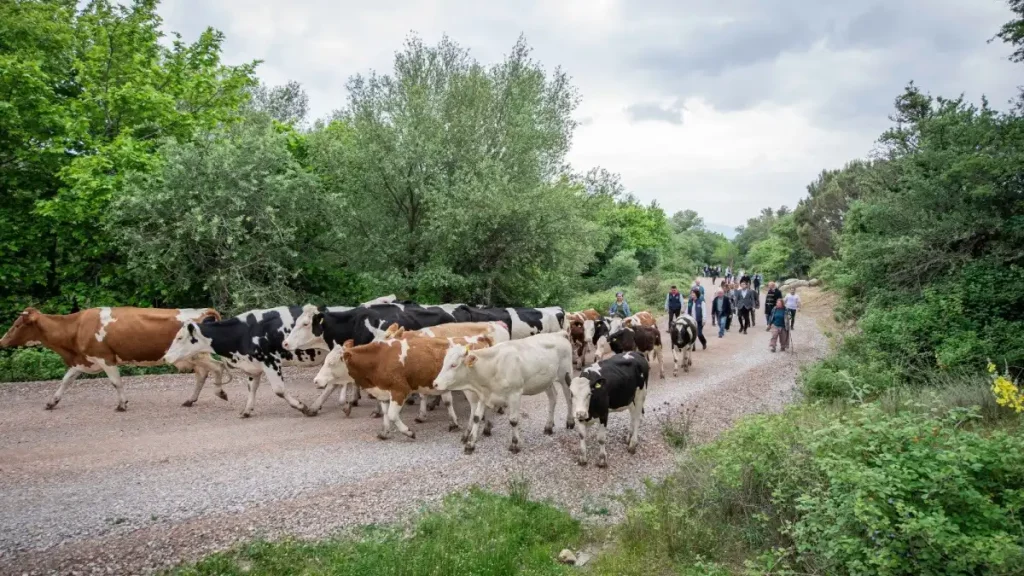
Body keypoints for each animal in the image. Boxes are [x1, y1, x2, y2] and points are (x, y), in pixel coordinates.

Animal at [0, 305, 228, 407]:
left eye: (17, 325)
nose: (1, 341)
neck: (76, 327)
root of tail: (201, 310)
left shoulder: (105, 358)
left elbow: (116, 382)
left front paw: (122, 404)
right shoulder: (81, 360)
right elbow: (66, 380)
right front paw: (52, 402)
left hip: (197, 356)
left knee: (216, 368)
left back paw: (219, 393)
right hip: (194, 358)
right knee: (202, 374)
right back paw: (191, 399)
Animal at [432, 332, 577, 453]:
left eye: (453, 365)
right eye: (443, 362)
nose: (435, 383)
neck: (492, 367)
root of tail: (558, 334)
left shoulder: (515, 394)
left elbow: (513, 420)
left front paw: (515, 444)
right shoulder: (484, 395)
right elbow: (476, 417)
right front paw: (470, 444)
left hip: (565, 376)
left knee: (569, 398)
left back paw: (570, 422)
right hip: (546, 381)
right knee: (553, 398)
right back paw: (548, 426)